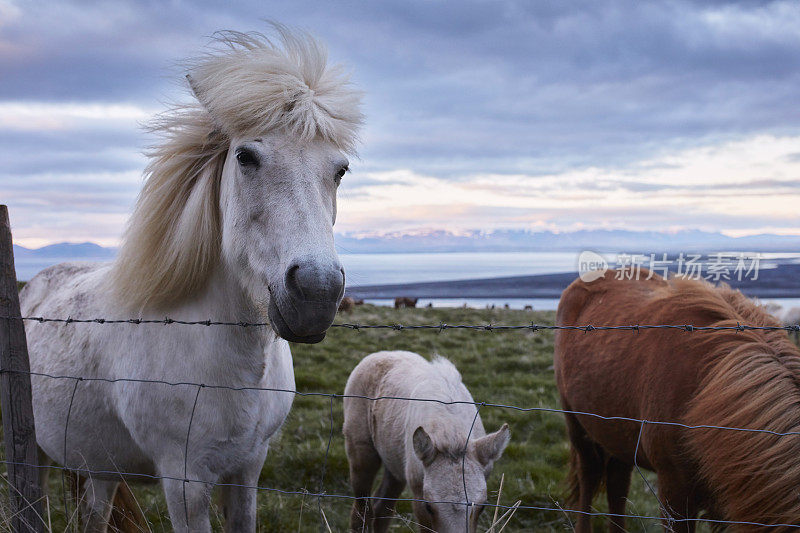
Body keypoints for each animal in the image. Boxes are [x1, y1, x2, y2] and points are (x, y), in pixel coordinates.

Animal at [19, 26, 362, 532]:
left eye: (340, 169)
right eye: (245, 156)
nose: (316, 294)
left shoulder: (249, 470)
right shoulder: (185, 484)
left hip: (99, 466)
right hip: (37, 453)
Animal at [342, 350, 506, 532]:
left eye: (483, 506)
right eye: (428, 507)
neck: (450, 433)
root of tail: (380, 354)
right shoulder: (418, 497)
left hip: (395, 464)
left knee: (382, 508)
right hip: (362, 454)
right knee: (361, 512)